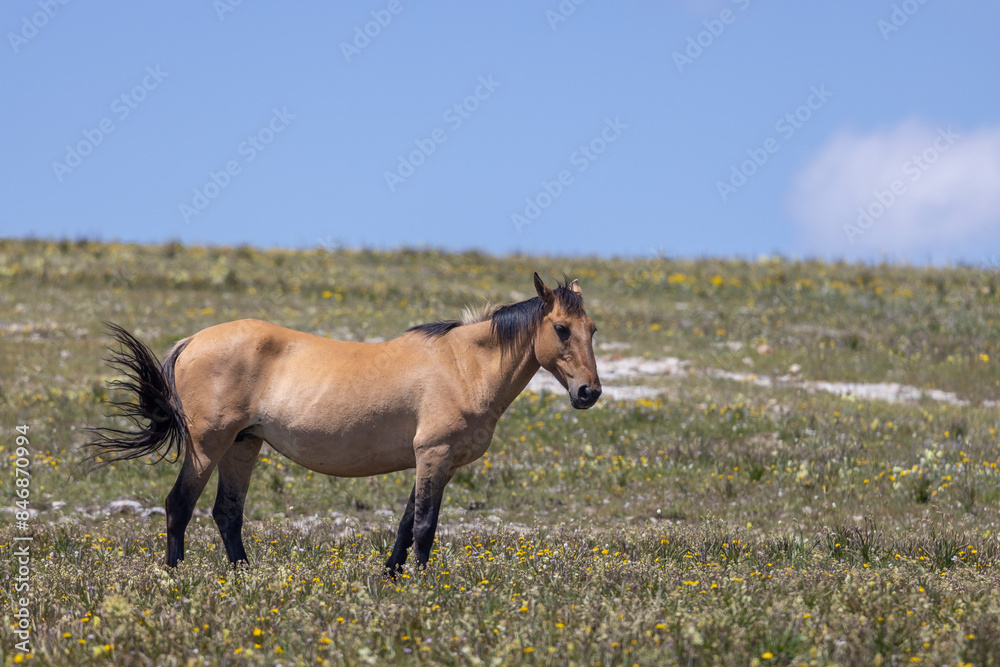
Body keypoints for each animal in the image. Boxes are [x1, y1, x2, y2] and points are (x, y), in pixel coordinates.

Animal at [85, 273, 601, 575]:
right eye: (560, 329)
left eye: (592, 329)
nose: (589, 392)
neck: (464, 366)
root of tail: (192, 341)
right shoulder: (433, 454)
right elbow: (424, 526)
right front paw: (423, 588)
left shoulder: (437, 461)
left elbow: (405, 523)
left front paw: (391, 578)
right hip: (208, 445)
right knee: (179, 506)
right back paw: (175, 578)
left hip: (242, 445)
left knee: (227, 514)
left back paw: (246, 578)